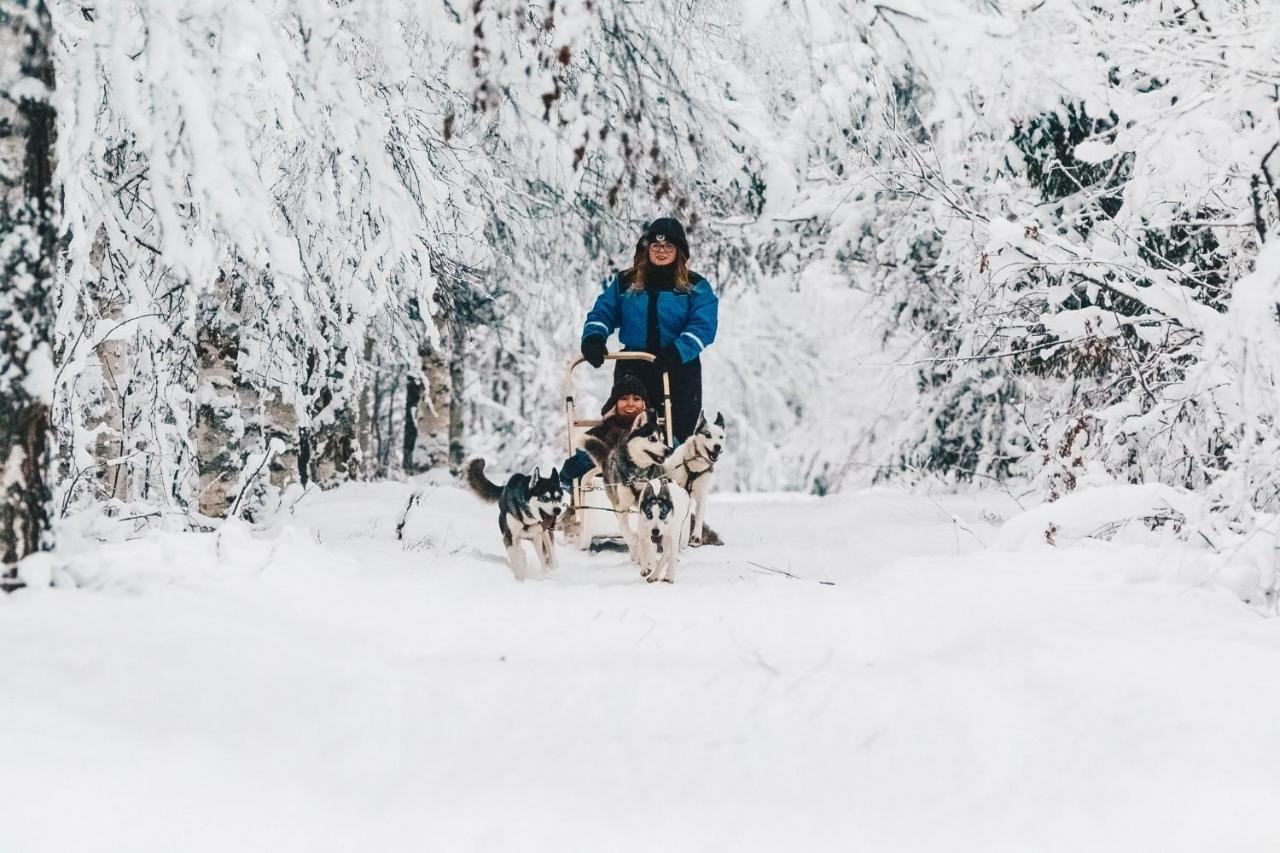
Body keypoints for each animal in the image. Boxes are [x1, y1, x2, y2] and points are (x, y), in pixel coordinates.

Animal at [586, 409, 675, 555]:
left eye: (663, 440)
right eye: (652, 438)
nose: (668, 451)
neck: (637, 473)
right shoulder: (621, 506)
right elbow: (626, 530)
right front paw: (634, 543)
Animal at [665, 412, 727, 545]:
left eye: (721, 437)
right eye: (708, 435)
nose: (717, 446)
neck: (695, 465)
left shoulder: (702, 495)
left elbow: (699, 517)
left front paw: (696, 536)